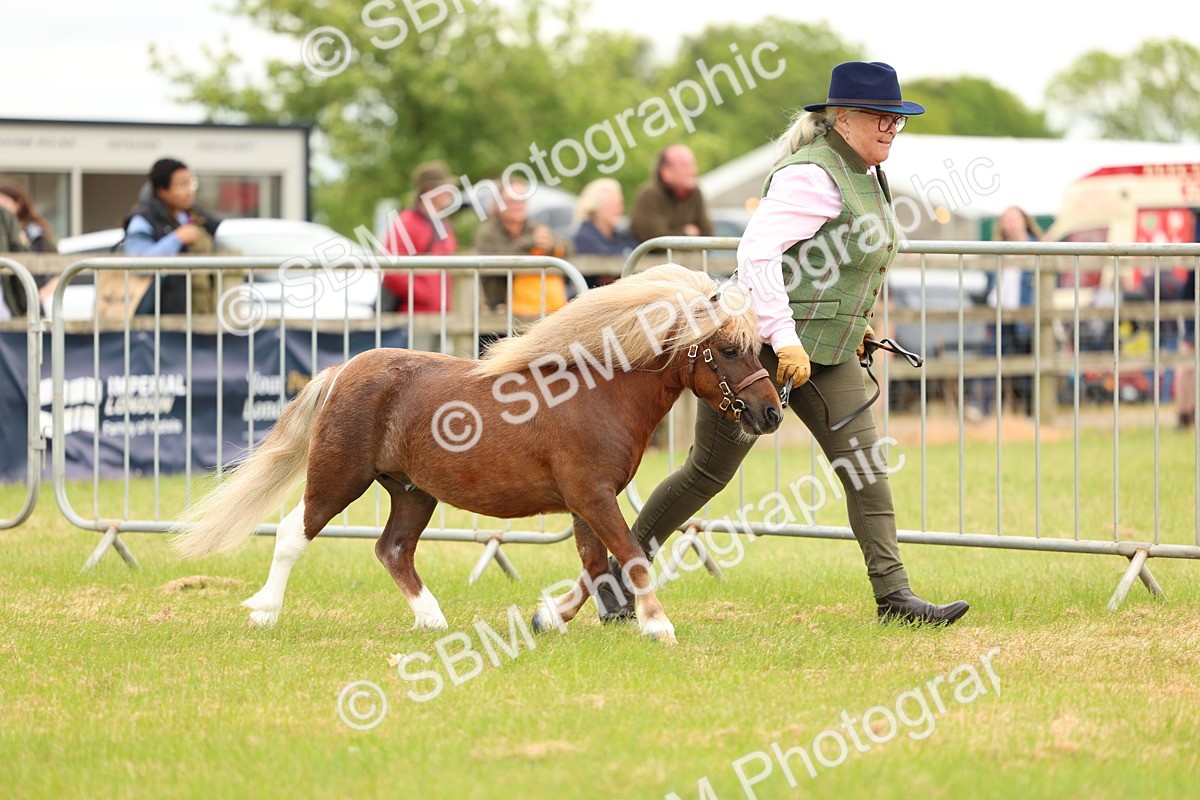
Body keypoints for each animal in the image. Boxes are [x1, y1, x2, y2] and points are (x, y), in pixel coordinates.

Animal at [171, 263, 783, 643]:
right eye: (729, 349)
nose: (770, 414)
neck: (598, 393)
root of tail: (344, 369)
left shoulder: (587, 500)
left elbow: (593, 566)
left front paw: (548, 619)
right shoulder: (592, 494)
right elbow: (629, 554)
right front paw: (658, 627)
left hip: (412, 492)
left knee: (393, 549)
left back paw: (434, 620)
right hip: (339, 474)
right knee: (293, 534)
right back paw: (264, 612)